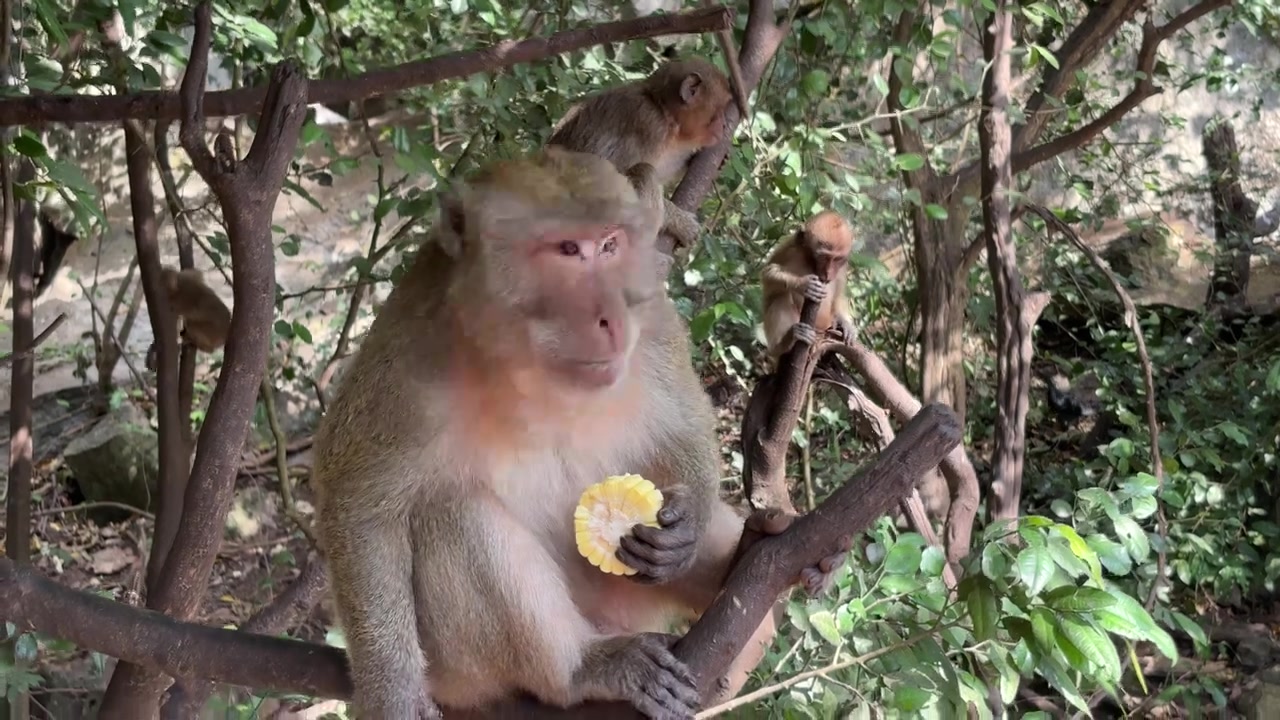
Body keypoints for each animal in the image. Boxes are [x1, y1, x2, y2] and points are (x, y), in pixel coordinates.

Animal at [546, 57, 736, 252]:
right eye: (721, 109)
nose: (724, 125)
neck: (661, 109)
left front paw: (703, 160)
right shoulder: (647, 125)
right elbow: (598, 187)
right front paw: (679, 221)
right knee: (643, 172)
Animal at [761, 210, 857, 363]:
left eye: (837, 259)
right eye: (824, 257)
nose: (828, 273)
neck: (810, 261)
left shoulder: (842, 268)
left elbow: (838, 295)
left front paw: (847, 324)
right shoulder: (790, 249)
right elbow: (768, 274)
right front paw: (804, 285)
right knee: (780, 298)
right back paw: (784, 344)